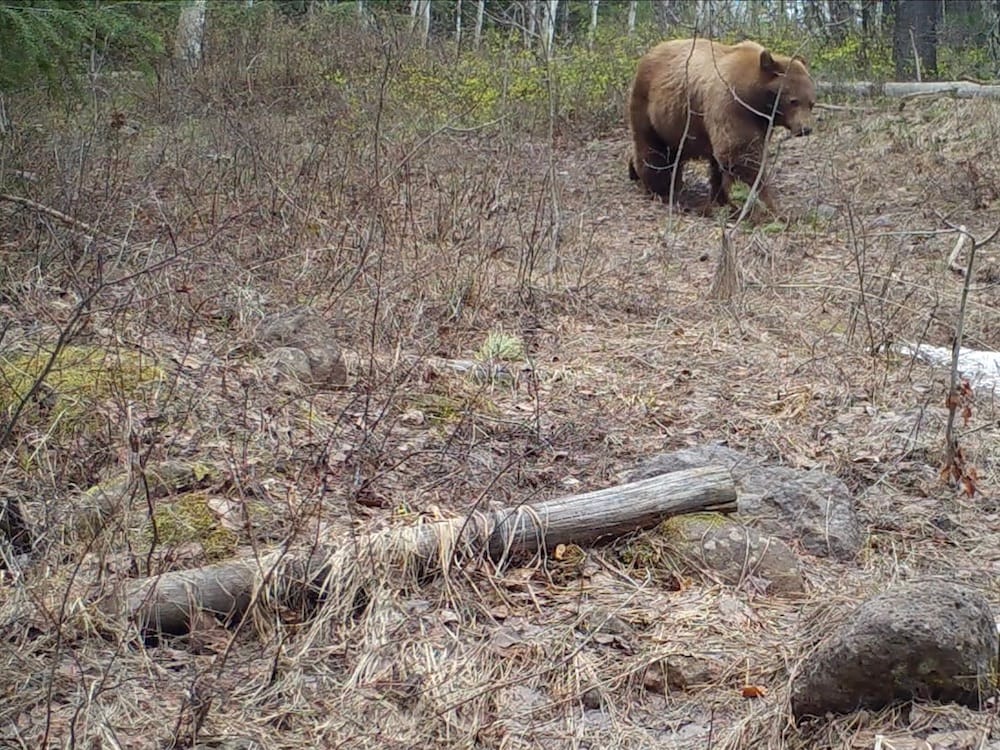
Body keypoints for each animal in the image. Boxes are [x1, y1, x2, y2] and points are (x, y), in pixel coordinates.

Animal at [628, 38, 816, 219]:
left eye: (811, 103)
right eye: (793, 101)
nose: (805, 129)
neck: (756, 96)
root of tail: (649, 53)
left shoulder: (760, 122)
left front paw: (725, 201)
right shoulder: (733, 104)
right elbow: (740, 155)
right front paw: (764, 207)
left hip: (679, 123)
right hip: (649, 106)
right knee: (653, 149)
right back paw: (660, 189)